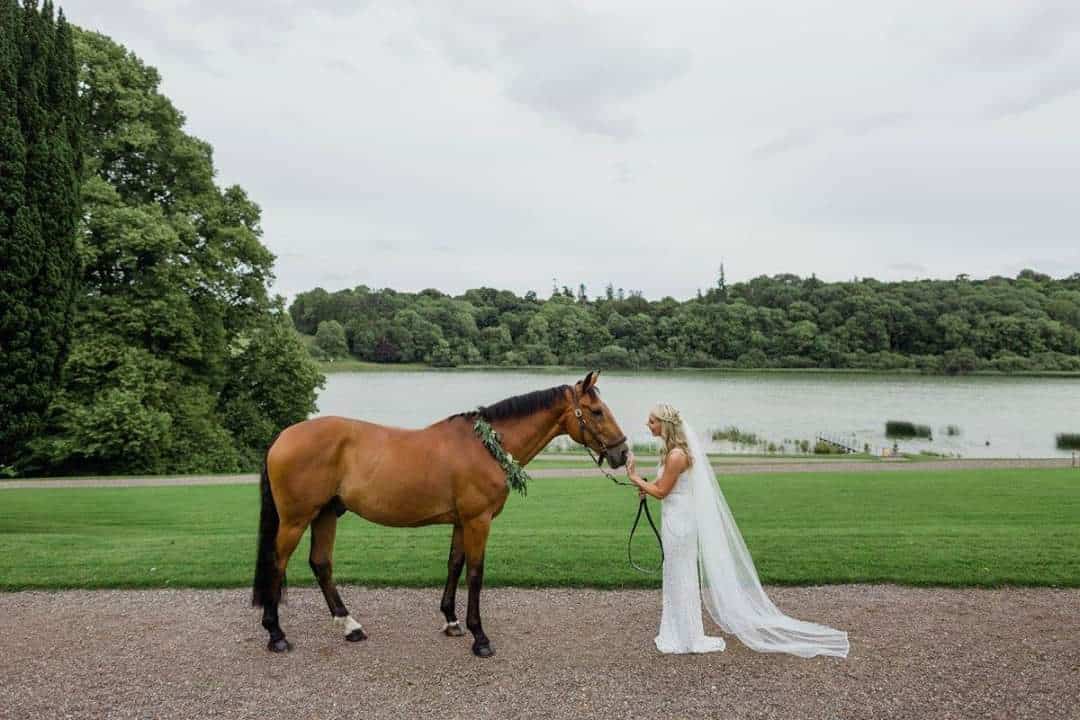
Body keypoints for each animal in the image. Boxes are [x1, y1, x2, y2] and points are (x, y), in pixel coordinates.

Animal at [251, 370, 629, 657]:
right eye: (596, 411)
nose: (622, 452)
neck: (487, 445)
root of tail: (282, 437)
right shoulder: (478, 521)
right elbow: (475, 573)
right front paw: (480, 638)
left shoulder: (462, 522)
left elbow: (454, 565)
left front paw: (452, 621)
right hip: (296, 519)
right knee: (277, 563)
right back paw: (276, 634)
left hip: (326, 514)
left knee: (321, 564)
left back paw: (350, 626)